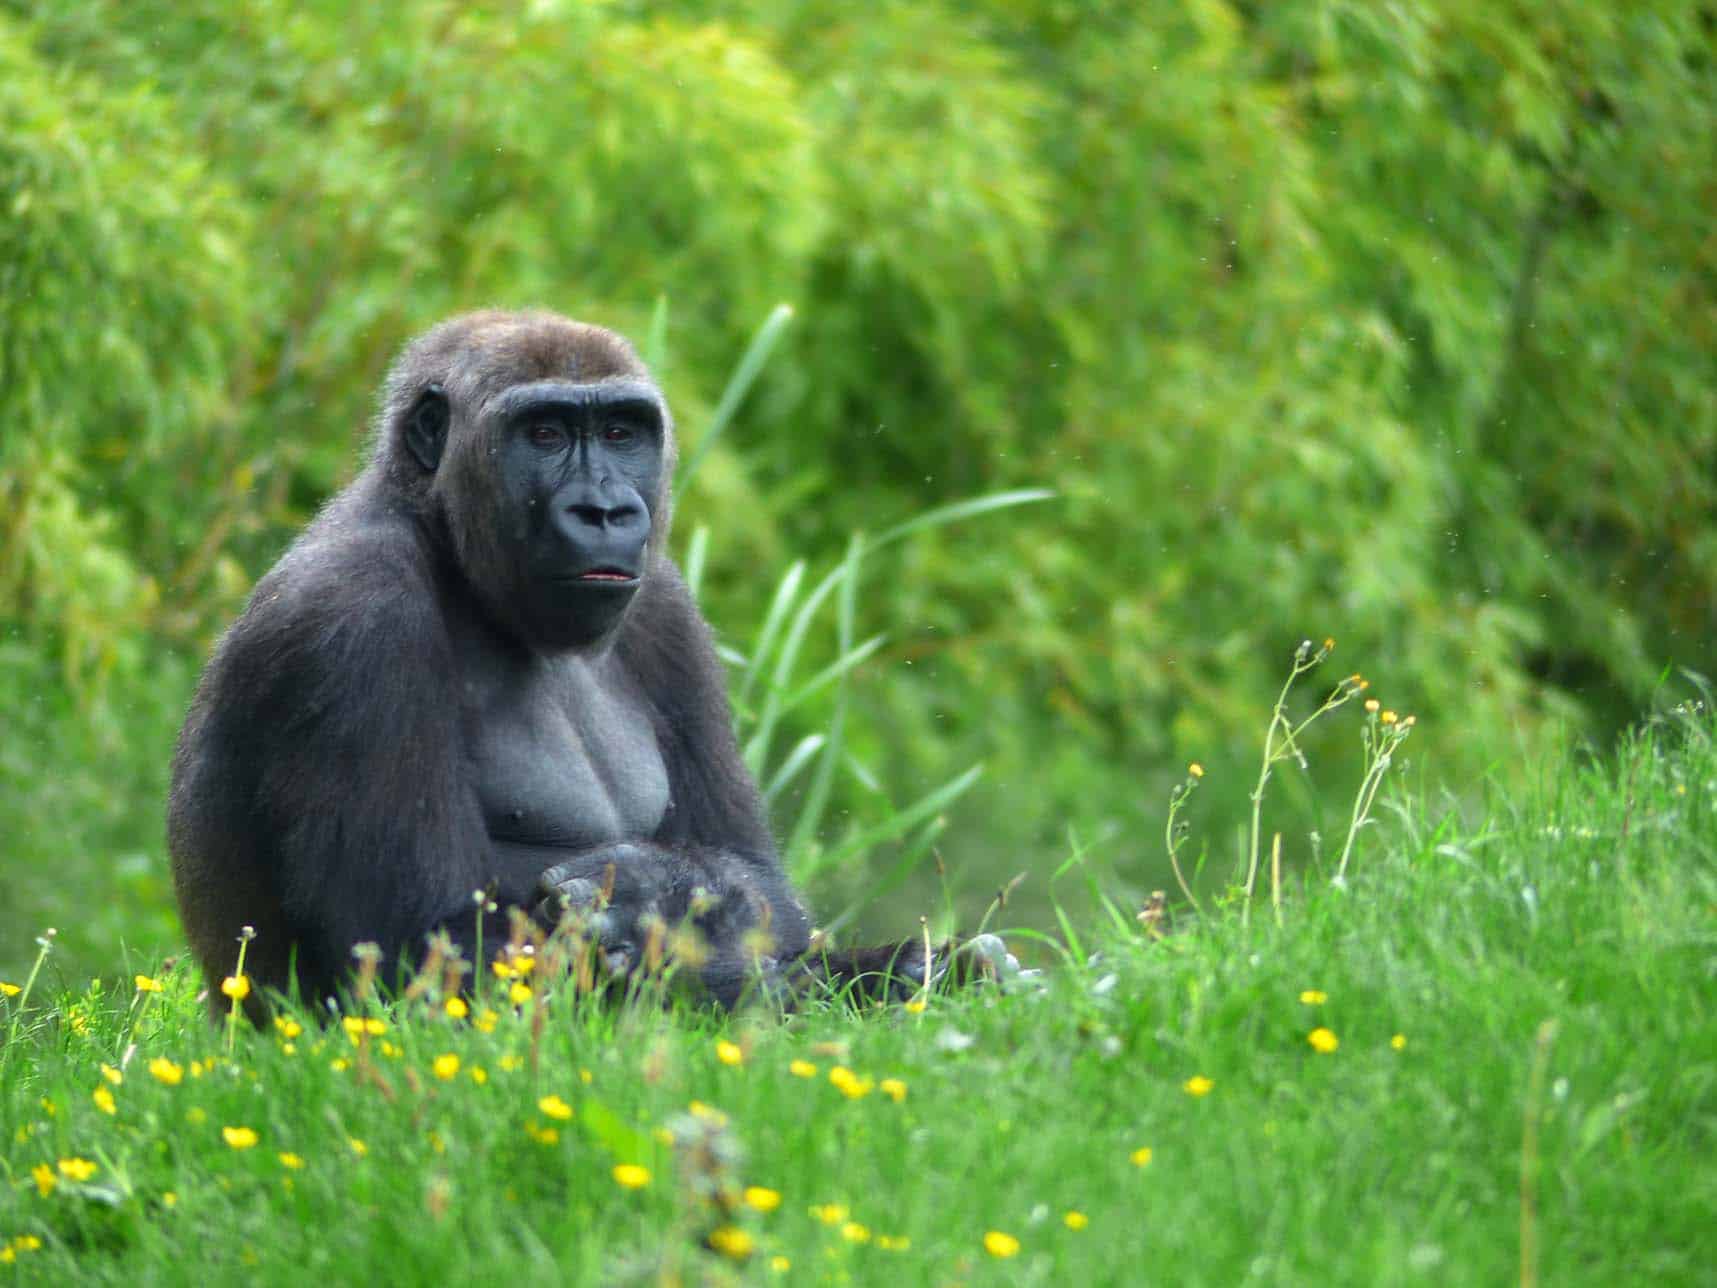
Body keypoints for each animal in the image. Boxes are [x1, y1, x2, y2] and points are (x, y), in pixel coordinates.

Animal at [174, 310, 982, 1016]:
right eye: (546, 433)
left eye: (621, 433)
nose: (605, 512)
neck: (445, 543)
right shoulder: (352, 617)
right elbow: (424, 950)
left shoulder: (667, 608)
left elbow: (757, 875)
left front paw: (676, 891)